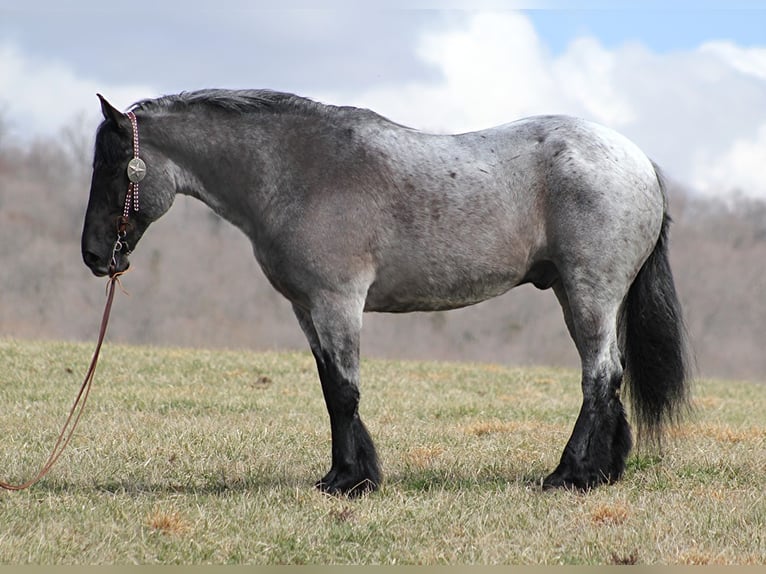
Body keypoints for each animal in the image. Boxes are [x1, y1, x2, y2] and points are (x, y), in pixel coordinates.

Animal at [81, 89, 692, 496]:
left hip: (590, 294)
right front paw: (339, 474)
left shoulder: (338, 304)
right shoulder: (308, 310)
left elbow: (345, 390)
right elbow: (330, 388)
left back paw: (569, 475)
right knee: (609, 376)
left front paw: (353, 481)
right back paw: (604, 471)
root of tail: (640, 163)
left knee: (599, 376)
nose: (93, 255)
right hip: (578, 293)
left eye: (116, 167)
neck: (302, 172)